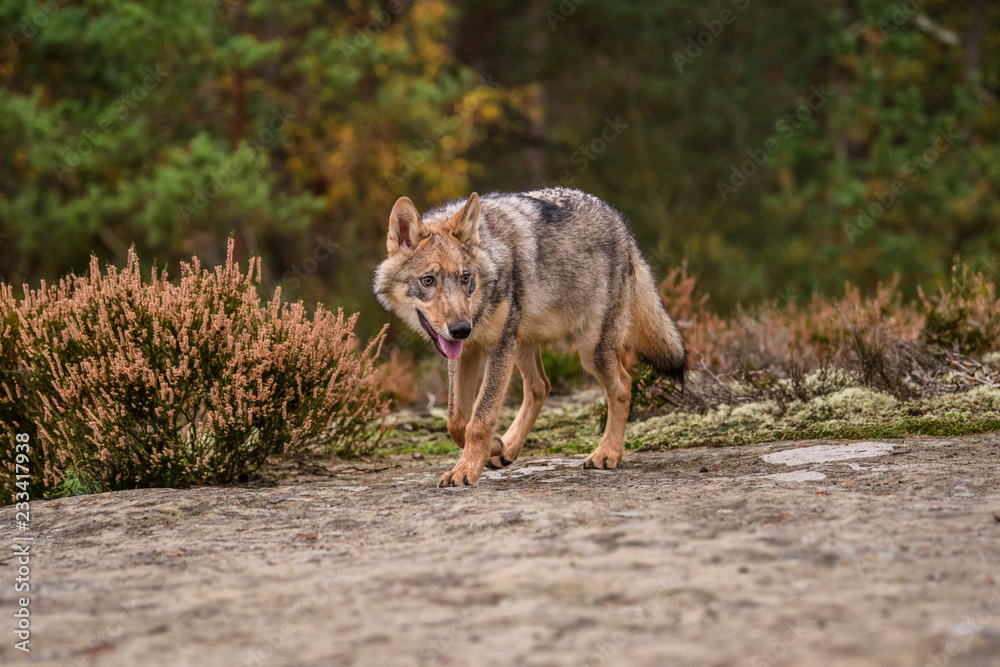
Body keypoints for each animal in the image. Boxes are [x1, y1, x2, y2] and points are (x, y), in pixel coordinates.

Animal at [373, 188, 686, 487]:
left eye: (465, 278)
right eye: (428, 280)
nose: (462, 329)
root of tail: (621, 224)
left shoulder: (498, 346)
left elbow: (480, 419)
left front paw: (466, 471)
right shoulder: (468, 351)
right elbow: (457, 420)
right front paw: (494, 446)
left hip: (588, 351)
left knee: (623, 383)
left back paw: (607, 452)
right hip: (523, 344)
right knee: (540, 387)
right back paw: (508, 448)